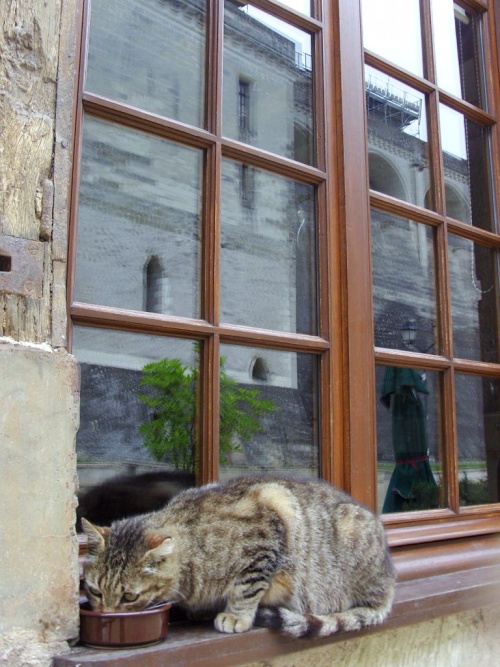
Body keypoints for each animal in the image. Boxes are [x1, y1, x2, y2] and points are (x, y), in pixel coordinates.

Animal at [82, 478, 394, 640]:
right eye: (95, 591)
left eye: (129, 597)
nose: (106, 615)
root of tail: (389, 581)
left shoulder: (267, 531)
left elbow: (245, 589)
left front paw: (235, 616)